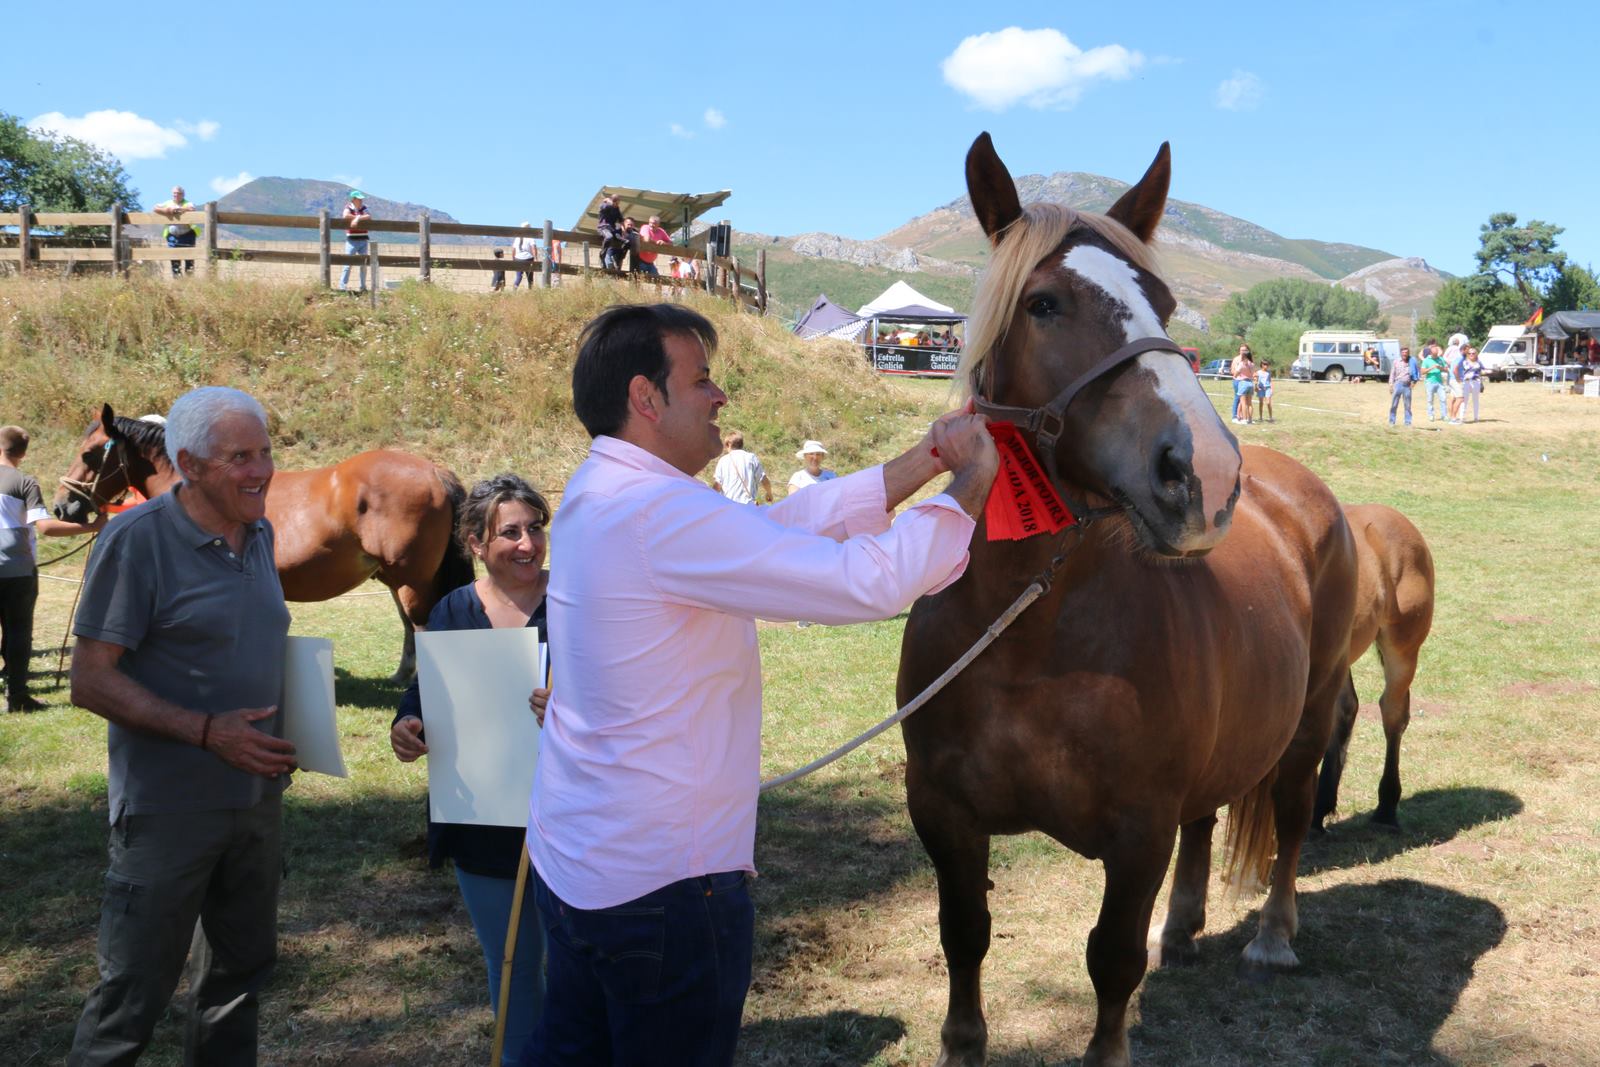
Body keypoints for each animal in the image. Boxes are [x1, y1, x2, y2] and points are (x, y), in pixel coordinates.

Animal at [896, 135, 1356, 1067]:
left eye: (1166, 304)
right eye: (1044, 303)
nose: (1204, 473)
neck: (1028, 632)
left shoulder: (1139, 830)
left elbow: (1110, 961)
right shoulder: (942, 811)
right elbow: (964, 935)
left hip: (1308, 718)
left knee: (1291, 820)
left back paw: (1272, 937)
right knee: (1208, 821)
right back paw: (1180, 931)